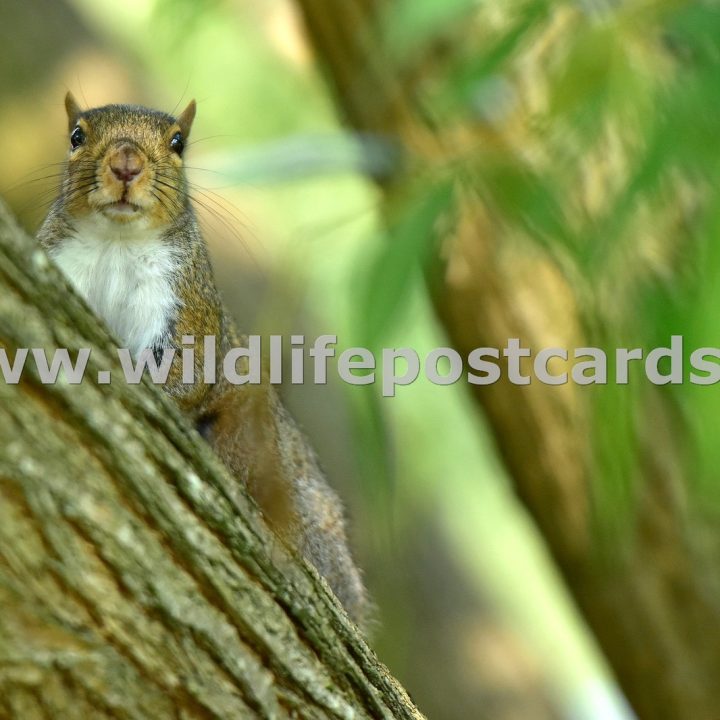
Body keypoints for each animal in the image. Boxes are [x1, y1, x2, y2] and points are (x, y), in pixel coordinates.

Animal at [36, 94, 368, 624]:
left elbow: (188, 376)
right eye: (75, 136)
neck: (116, 243)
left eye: (178, 143)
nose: (126, 164)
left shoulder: (187, 302)